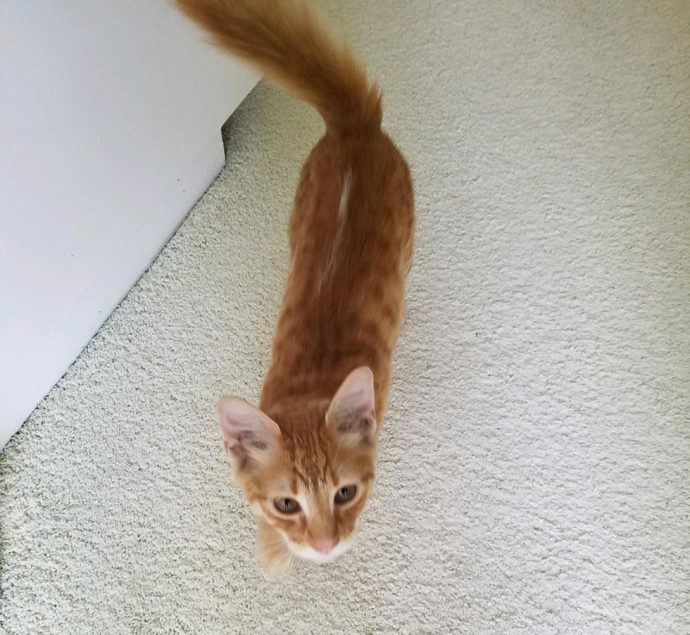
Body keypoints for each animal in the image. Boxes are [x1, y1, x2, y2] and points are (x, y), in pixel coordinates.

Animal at [176, 0, 414, 575]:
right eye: (287, 504)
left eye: (345, 493)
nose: (326, 545)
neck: (311, 383)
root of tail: (355, 125)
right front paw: (276, 545)